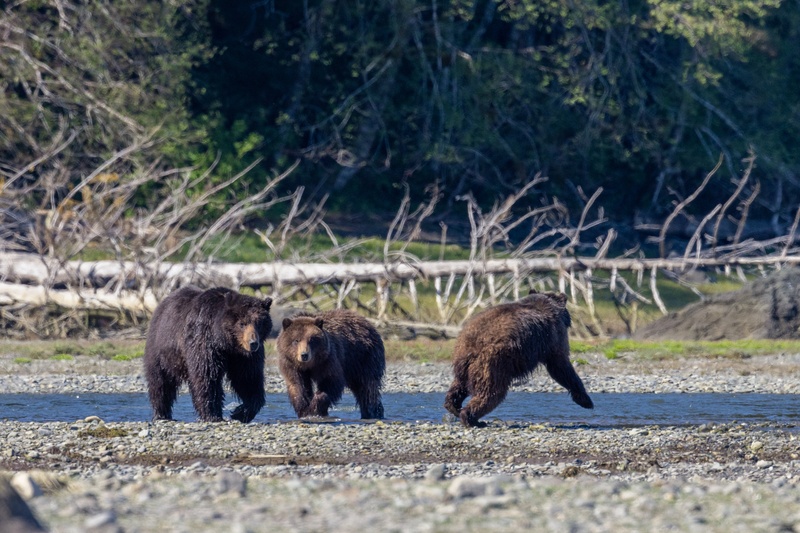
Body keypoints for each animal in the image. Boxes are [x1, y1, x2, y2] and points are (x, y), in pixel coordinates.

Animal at [143, 286, 273, 423]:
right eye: (242, 323)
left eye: (259, 323)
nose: (253, 343)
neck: (226, 343)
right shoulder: (205, 343)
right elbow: (207, 376)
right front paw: (213, 415)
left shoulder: (243, 357)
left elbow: (248, 378)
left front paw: (240, 412)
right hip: (163, 351)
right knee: (160, 381)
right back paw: (161, 413)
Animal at [444, 290, 593, 427]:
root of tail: (471, 344)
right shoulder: (554, 337)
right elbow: (561, 366)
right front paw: (586, 401)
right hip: (493, 362)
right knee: (490, 392)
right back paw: (472, 419)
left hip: (463, 362)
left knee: (459, 386)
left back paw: (454, 407)